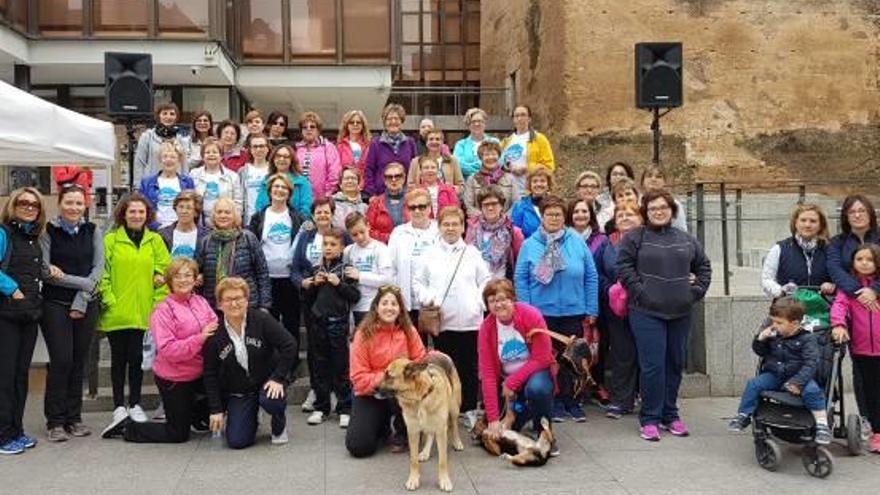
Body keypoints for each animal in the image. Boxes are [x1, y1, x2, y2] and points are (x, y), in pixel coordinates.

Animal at [374, 352, 464, 492]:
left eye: (389, 376)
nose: (373, 389)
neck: (420, 398)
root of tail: (442, 354)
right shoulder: (412, 431)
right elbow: (413, 460)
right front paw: (413, 480)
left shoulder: (441, 430)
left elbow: (442, 461)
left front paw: (444, 480)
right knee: (430, 434)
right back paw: (425, 452)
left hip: (454, 408)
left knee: (454, 424)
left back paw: (457, 442)